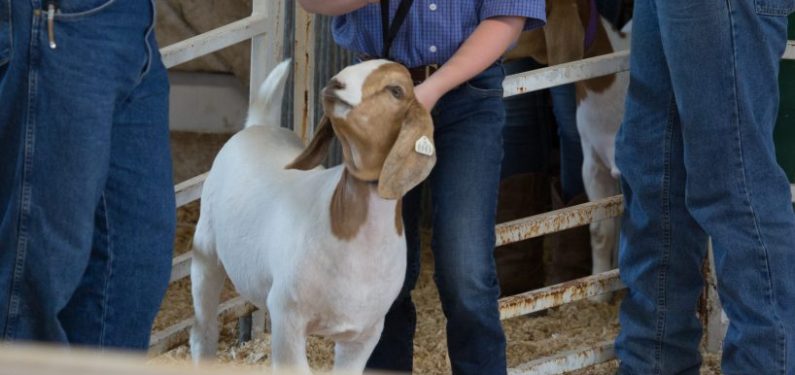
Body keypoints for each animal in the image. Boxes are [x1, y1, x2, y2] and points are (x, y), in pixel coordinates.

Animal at [190, 58, 438, 374]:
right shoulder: (286, 315)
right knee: (203, 330)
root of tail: (259, 125)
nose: (335, 83)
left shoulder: (365, 334)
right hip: (205, 250)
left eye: (396, 90)